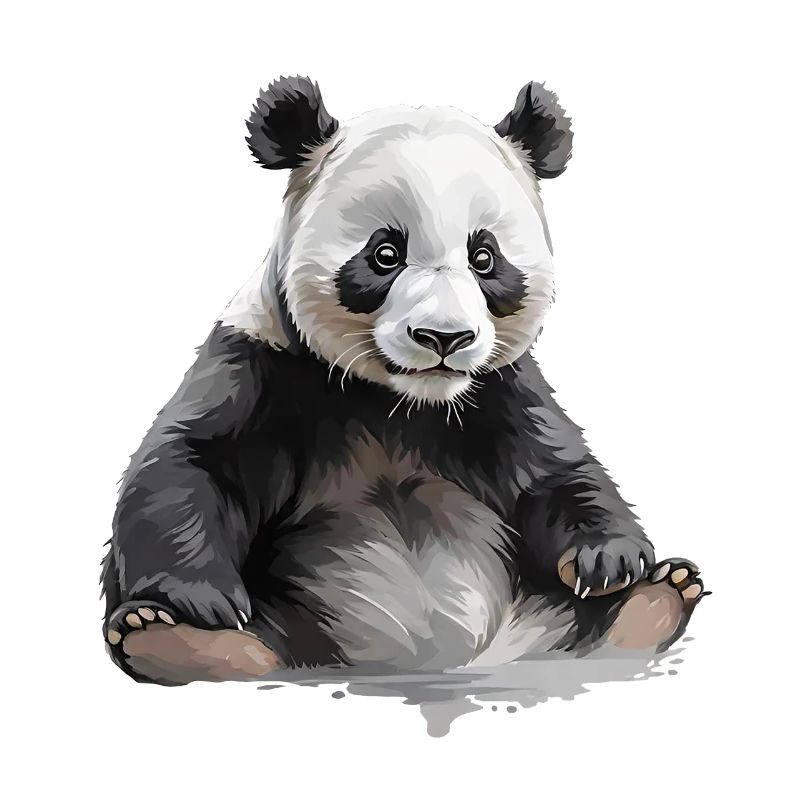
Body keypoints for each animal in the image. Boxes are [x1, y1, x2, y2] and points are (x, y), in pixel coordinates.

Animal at [101, 76, 707, 684]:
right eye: (385, 253)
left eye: (484, 258)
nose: (444, 338)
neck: (400, 402)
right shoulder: (263, 363)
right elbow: (192, 461)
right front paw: (200, 599)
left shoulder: (499, 391)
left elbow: (554, 470)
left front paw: (610, 560)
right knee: (257, 642)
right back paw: (180, 639)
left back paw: (653, 600)